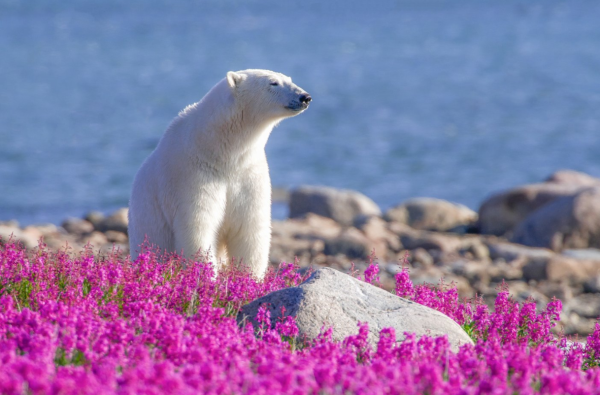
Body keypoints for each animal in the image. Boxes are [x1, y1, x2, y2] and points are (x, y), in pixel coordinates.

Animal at [128, 69, 312, 280]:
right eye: (273, 83)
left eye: (289, 79)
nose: (305, 97)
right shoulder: (192, 175)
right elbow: (198, 228)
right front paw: (207, 278)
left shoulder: (248, 174)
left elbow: (250, 230)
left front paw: (249, 279)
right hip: (148, 227)